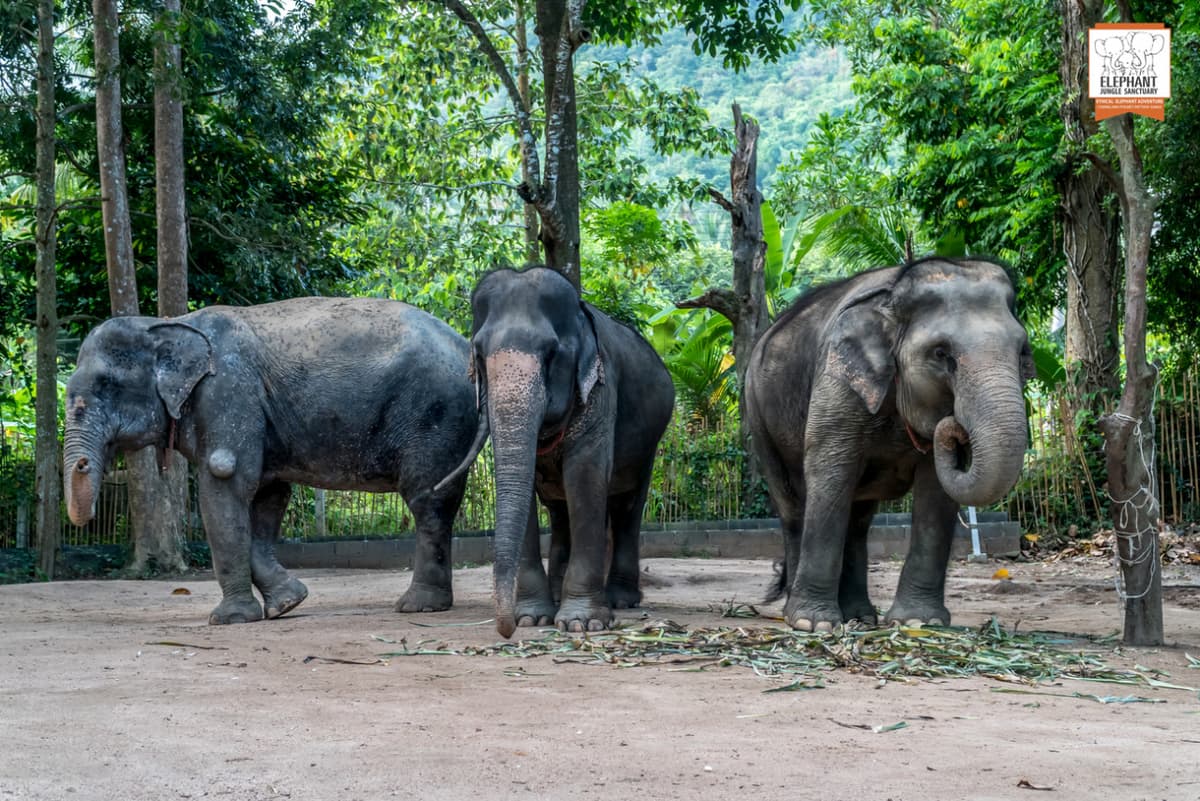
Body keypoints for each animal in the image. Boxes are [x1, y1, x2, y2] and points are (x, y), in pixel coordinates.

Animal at [63, 297, 478, 625]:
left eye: (106, 385)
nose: (82, 464)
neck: (168, 321)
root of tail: (462, 342)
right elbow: (266, 496)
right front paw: (287, 604)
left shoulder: (228, 394)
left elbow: (225, 480)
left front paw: (230, 620)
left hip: (434, 417)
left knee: (427, 500)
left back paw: (417, 607)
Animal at [437, 267, 675, 638]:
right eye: (479, 354)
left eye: (551, 353)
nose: (505, 630)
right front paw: (532, 618)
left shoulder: (601, 391)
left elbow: (585, 478)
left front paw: (582, 623)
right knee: (561, 511)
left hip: (650, 440)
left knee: (627, 505)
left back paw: (621, 600)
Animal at [744, 256, 1033, 632]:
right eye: (941, 353)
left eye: (1022, 351)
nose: (954, 426)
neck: (893, 298)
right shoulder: (836, 382)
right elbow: (830, 474)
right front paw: (813, 625)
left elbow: (936, 494)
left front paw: (919, 622)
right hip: (758, 415)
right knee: (793, 507)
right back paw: (797, 612)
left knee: (857, 519)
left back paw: (860, 616)